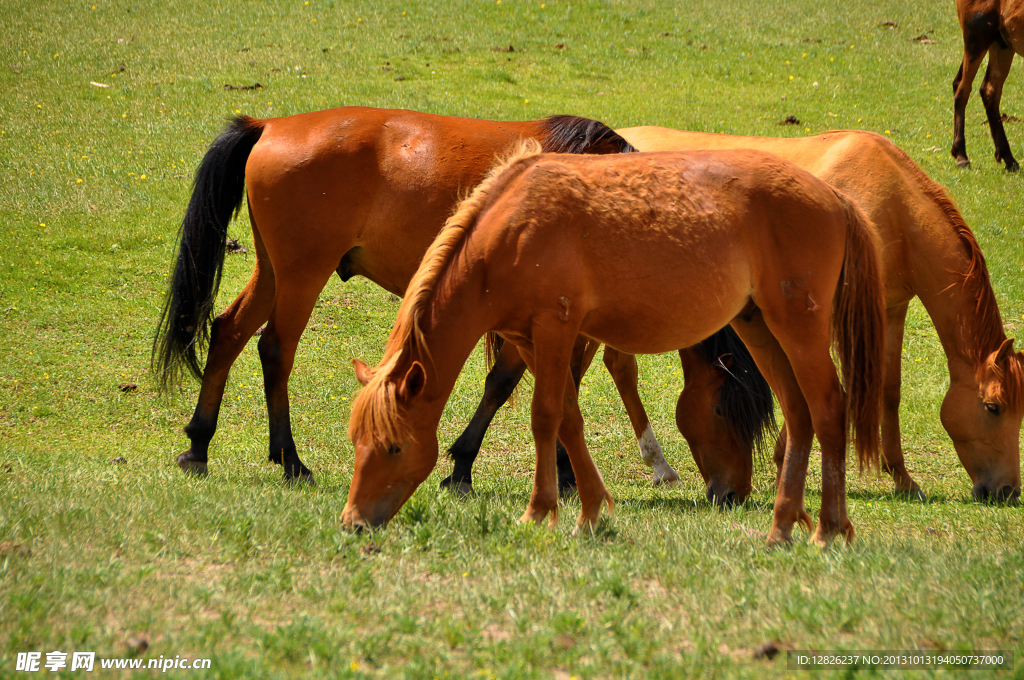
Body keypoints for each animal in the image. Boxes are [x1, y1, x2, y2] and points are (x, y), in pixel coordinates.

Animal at [346, 143, 888, 548]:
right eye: (357, 443)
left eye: (394, 447)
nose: (353, 522)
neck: (513, 227)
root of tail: (834, 197)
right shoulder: (529, 340)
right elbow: (568, 419)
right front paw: (590, 510)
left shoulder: (556, 329)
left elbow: (545, 418)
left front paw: (538, 511)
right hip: (760, 328)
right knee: (798, 415)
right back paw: (780, 529)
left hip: (799, 327)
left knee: (827, 407)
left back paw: (828, 528)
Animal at [614, 127, 1024, 501]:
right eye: (993, 408)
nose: (1007, 491)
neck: (894, 204)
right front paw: (784, 462)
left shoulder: (890, 310)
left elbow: (888, 393)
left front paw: (902, 478)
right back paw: (658, 465)